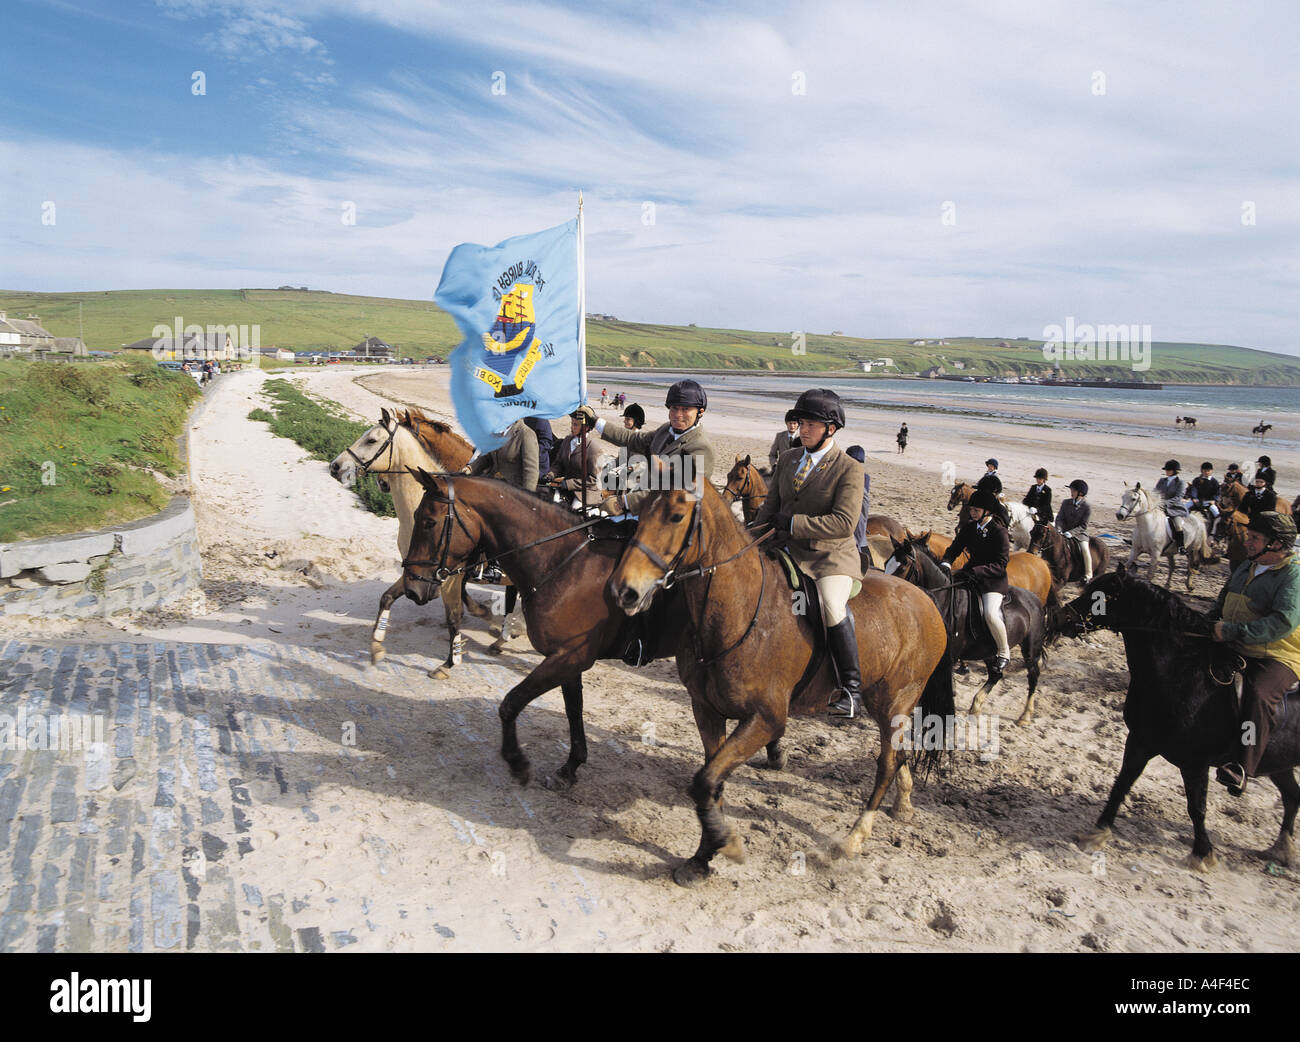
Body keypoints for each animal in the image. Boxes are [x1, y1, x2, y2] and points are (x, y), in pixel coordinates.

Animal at [403, 467, 686, 784]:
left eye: (429, 522)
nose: (412, 587)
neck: (566, 562)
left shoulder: (569, 657)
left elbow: (511, 703)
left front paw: (517, 761)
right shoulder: (566, 660)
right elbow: (573, 709)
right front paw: (571, 765)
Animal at [603, 475, 951, 883]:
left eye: (675, 516)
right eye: (641, 512)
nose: (623, 590)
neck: (740, 612)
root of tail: (926, 600)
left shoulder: (766, 720)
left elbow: (705, 781)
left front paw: (725, 845)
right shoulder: (706, 709)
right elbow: (712, 782)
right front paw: (702, 857)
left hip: (894, 701)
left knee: (886, 763)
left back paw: (854, 838)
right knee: (899, 756)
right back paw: (904, 803)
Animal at [889, 535, 1050, 722]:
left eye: (903, 566)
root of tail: (1035, 600)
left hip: (1030, 648)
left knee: (1033, 674)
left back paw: (1025, 715)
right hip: (989, 650)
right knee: (996, 675)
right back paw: (976, 706)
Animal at [1055, 561, 1300, 867]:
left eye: (1099, 596)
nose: (1062, 617)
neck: (1183, 676)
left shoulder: (1195, 763)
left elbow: (1196, 807)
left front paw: (1203, 853)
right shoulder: (1140, 742)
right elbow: (1120, 786)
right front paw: (1097, 832)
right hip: (1281, 764)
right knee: (1292, 797)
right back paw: (1281, 849)